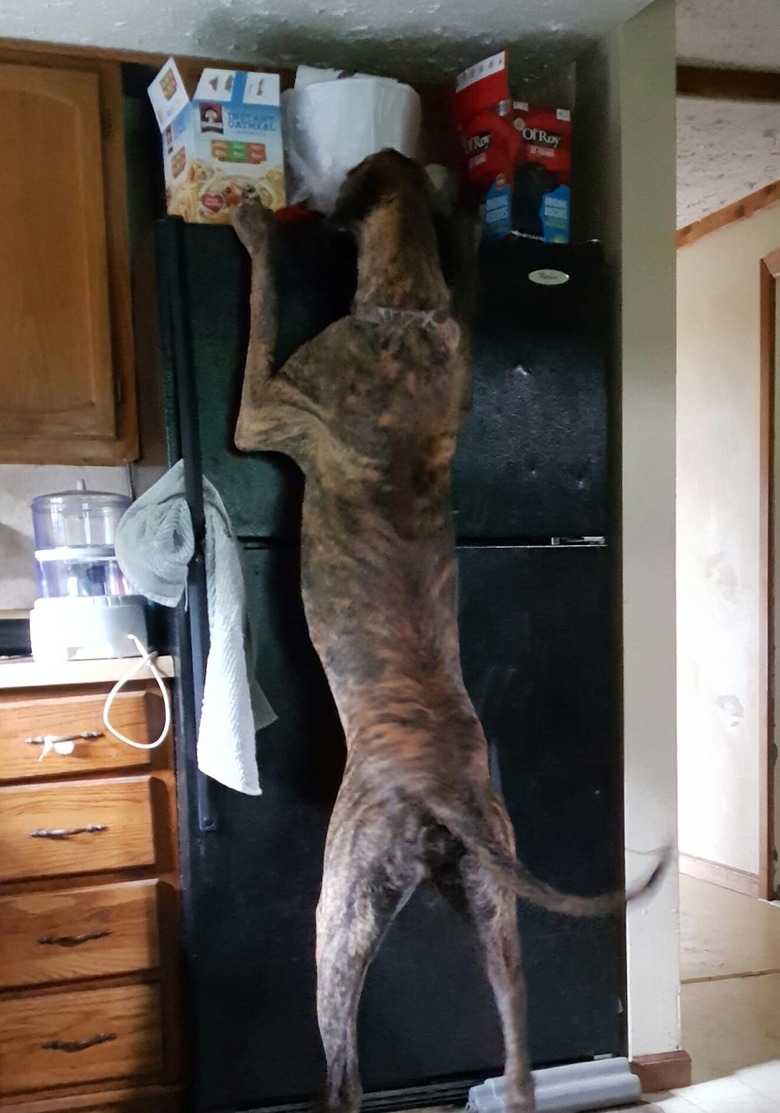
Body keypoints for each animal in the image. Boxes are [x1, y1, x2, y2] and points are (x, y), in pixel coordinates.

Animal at [229, 150, 667, 1113]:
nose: (303, 202)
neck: (409, 309)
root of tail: (445, 803)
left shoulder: (264, 407)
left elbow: (264, 307)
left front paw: (252, 223)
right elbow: (470, 288)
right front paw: (468, 223)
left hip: (341, 906)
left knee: (346, 1071)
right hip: (498, 919)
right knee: (519, 1065)